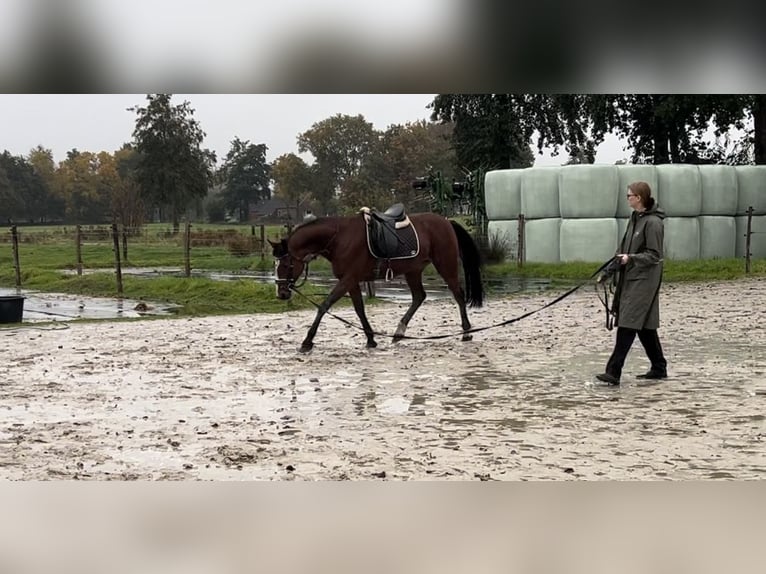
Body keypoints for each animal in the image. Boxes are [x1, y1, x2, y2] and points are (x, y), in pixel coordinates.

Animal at [272, 205, 486, 354]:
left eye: (285, 265)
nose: (282, 293)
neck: (339, 238)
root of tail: (447, 221)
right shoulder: (351, 281)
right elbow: (359, 309)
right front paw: (371, 339)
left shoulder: (348, 279)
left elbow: (325, 305)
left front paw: (307, 342)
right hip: (413, 270)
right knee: (419, 297)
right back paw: (399, 333)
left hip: (445, 265)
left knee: (458, 294)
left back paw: (466, 332)